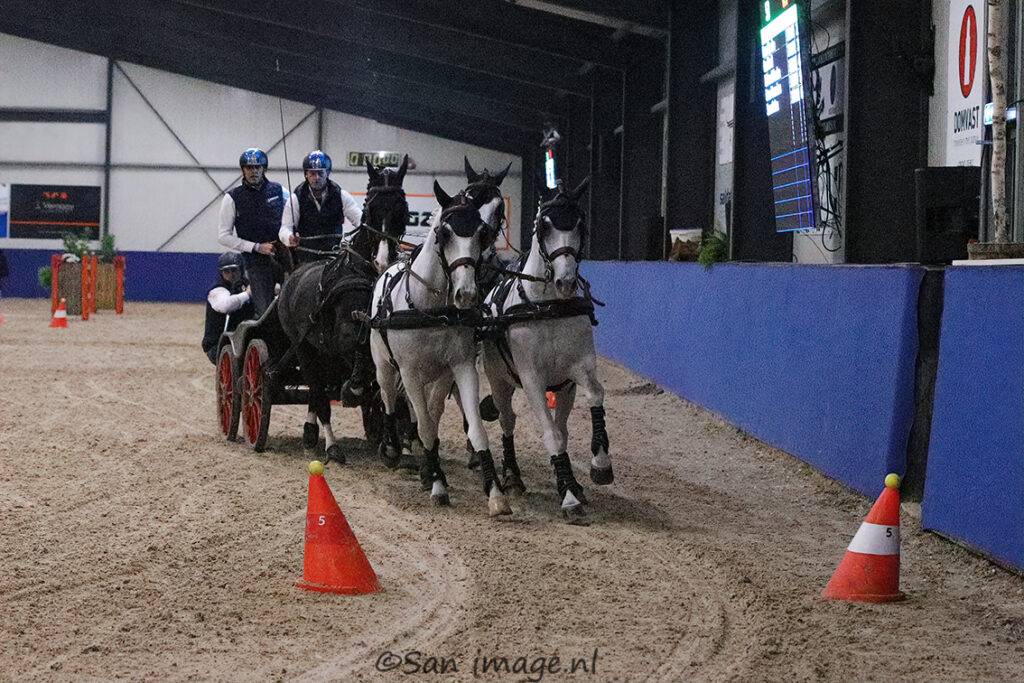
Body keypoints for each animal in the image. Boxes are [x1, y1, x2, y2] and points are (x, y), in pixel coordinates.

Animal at [369, 181, 510, 516]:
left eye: (480, 233)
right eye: (444, 233)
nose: (466, 294)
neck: (431, 309)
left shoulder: (461, 366)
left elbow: (473, 427)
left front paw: (495, 493)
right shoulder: (408, 371)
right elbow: (425, 428)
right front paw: (437, 484)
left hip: (437, 375)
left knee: (429, 410)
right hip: (384, 364)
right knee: (389, 398)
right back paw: (392, 447)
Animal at [479, 177, 611, 524]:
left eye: (580, 223)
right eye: (544, 225)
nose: (566, 281)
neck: (547, 306)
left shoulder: (578, 369)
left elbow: (595, 394)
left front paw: (598, 465)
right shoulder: (532, 379)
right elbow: (549, 433)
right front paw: (568, 498)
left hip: (564, 390)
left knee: (562, 426)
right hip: (499, 380)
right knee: (508, 420)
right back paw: (512, 475)